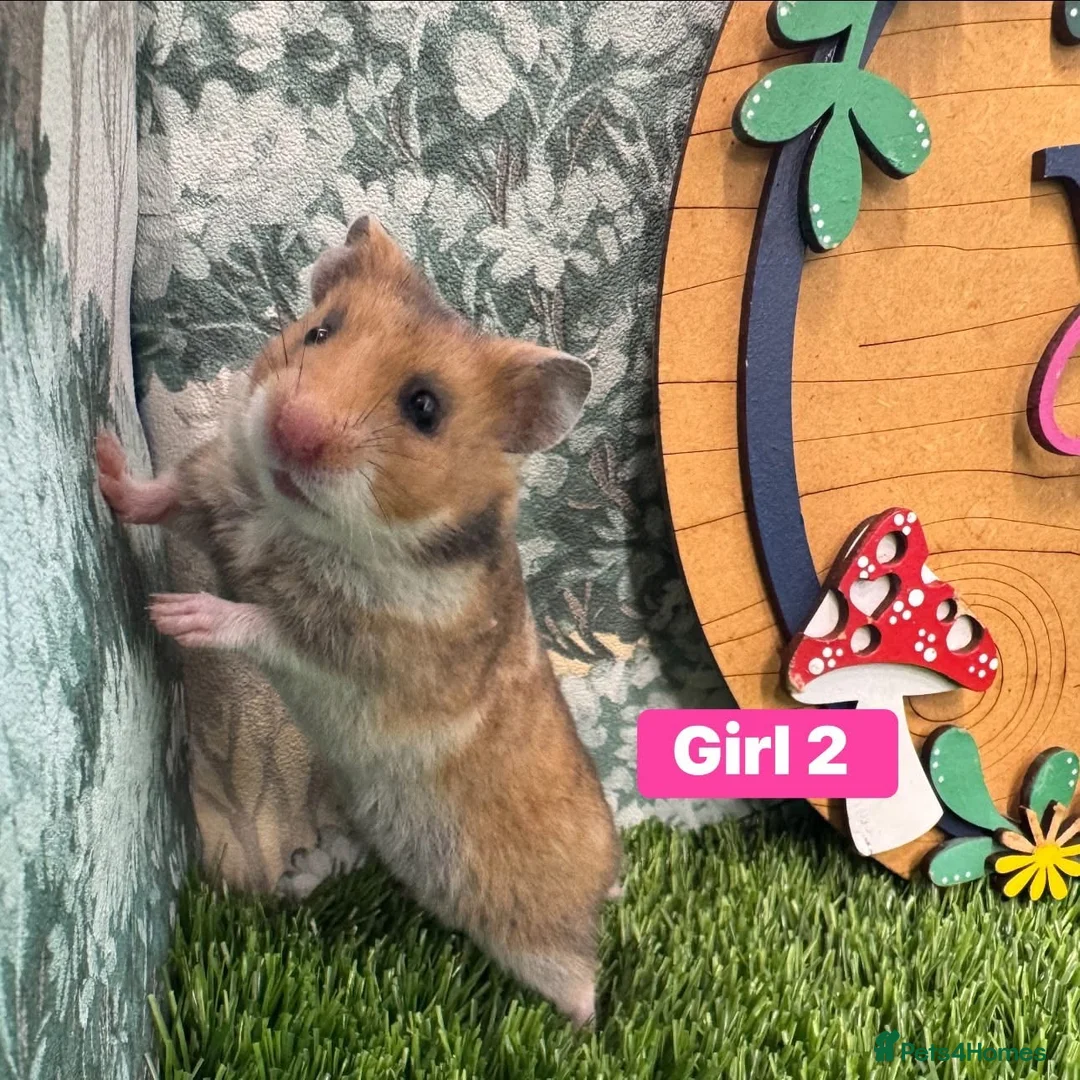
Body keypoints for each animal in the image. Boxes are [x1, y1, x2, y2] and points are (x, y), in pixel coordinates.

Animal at [97, 214, 621, 1027]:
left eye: (425, 407)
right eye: (320, 332)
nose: (292, 428)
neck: (297, 523)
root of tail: (610, 871)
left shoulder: (352, 654)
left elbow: (259, 623)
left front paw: (175, 613)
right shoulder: (219, 501)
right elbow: (167, 496)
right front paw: (104, 461)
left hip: (541, 934)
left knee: (583, 979)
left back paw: (581, 1034)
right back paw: (299, 874)